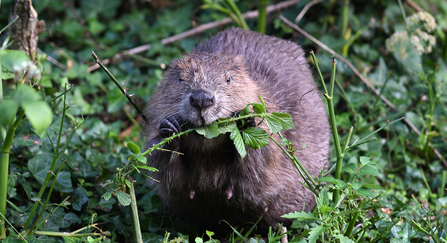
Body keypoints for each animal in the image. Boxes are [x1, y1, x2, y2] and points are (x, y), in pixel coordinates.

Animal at [145, 27, 330, 234]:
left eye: (228, 78)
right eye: (180, 78)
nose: (202, 99)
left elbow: (260, 167)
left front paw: (244, 121)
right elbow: (166, 174)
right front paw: (170, 128)